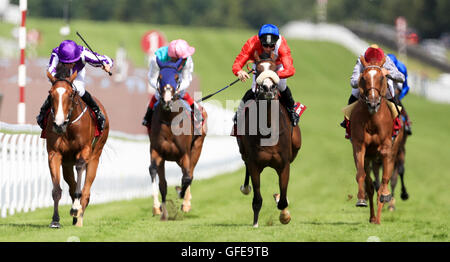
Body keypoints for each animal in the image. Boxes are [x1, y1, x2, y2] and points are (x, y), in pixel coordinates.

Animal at [44, 67, 109, 227]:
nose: (58, 124)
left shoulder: (84, 151)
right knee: (72, 185)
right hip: (67, 164)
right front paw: (55, 220)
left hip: (95, 156)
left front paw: (75, 208)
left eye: (70, 94)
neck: (68, 127)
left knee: (86, 190)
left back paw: (79, 215)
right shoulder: (54, 154)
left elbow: (80, 167)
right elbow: (57, 189)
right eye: (50, 93)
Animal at [150, 57, 208, 221]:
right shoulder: (157, 151)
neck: (170, 120)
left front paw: (182, 198)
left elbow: (187, 178)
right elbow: (155, 174)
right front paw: (158, 208)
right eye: (160, 77)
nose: (167, 100)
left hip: (197, 147)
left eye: (177, 78)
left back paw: (186, 202)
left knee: (190, 173)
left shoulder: (185, 153)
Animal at [237, 51, 300, 227]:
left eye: (275, 69)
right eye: (257, 70)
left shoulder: (284, 164)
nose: (268, 88)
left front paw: (284, 214)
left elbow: (283, 199)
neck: (268, 129)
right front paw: (255, 223)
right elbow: (257, 198)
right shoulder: (254, 164)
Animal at [348, 55, 404, 223]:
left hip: (394, 152)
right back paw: (373, 217)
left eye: (381, 78)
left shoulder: (386, 149)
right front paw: (361, 199)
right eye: (363, 78)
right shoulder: (360, 147)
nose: (373, 102)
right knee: (372, 185)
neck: (372, 120)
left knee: (386, 180)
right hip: (371, 158)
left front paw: (385, 196)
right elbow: (362, 176)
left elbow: (385, 180)